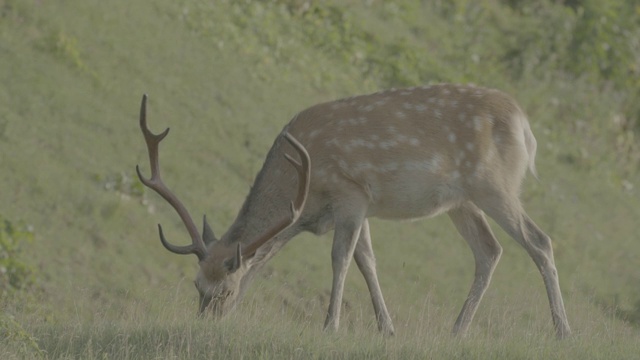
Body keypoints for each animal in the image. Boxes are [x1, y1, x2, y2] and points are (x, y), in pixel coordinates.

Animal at [135, 83, 568, 338]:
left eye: (225, 291)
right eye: (196, 285)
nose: (205, 325)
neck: (305, 198)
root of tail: (525, 125)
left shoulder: (351, 192)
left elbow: (341, 258)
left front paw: (331, 325)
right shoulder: (361, 206)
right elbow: (367, 261)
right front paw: (387, 329)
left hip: (494, 184)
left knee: (540, 240)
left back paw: (562, 330)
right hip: (461, 201)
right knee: (489, 250)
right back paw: (457, 330)